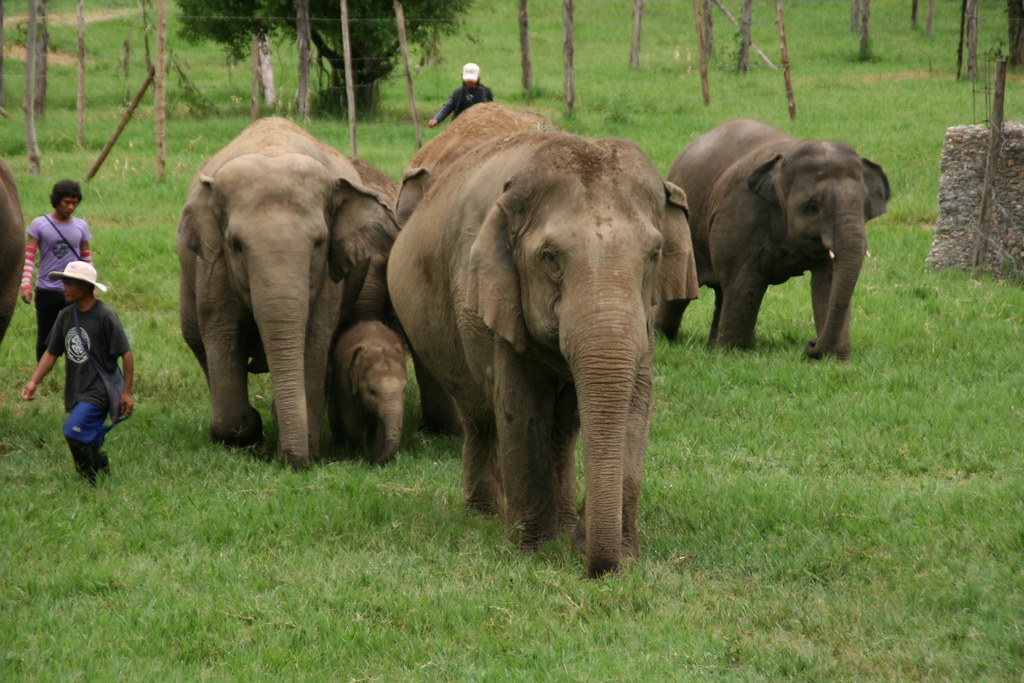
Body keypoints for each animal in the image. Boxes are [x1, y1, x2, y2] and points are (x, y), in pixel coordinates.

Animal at [177, 117, 399, 469]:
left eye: (319, 242)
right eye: (237, 245)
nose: (294, 463)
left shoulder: (327, 277)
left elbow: (315, 339)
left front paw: (301, 452)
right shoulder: (213, 269)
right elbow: (222, 334)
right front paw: (251, 433)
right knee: (197, 339)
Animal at [328, 320, 407, 465]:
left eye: (404, 390)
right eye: (372, 391)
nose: (377, 461)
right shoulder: (345, 383)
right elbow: (353, 423)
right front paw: (363, 457)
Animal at [387, 130, 699, 577]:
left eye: (654, 254)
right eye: (549, 258)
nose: (596, 569)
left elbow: (636, 403)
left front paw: (617, 552)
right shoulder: (501, 305)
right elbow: (522, 405)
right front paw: (532, 550)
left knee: (561, 430)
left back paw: (561, 520)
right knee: (480, 417)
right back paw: (485, 515)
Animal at [654, 119, 890, 361]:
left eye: (863, 205)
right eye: (812, 207)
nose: (810, 344)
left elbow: (829, 280)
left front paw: (834, 359)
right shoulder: (740, 214)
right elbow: (744, 282)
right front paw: (734, 354)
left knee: (721, 290)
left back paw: (710, 345)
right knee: (683, 289)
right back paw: (662, 337)